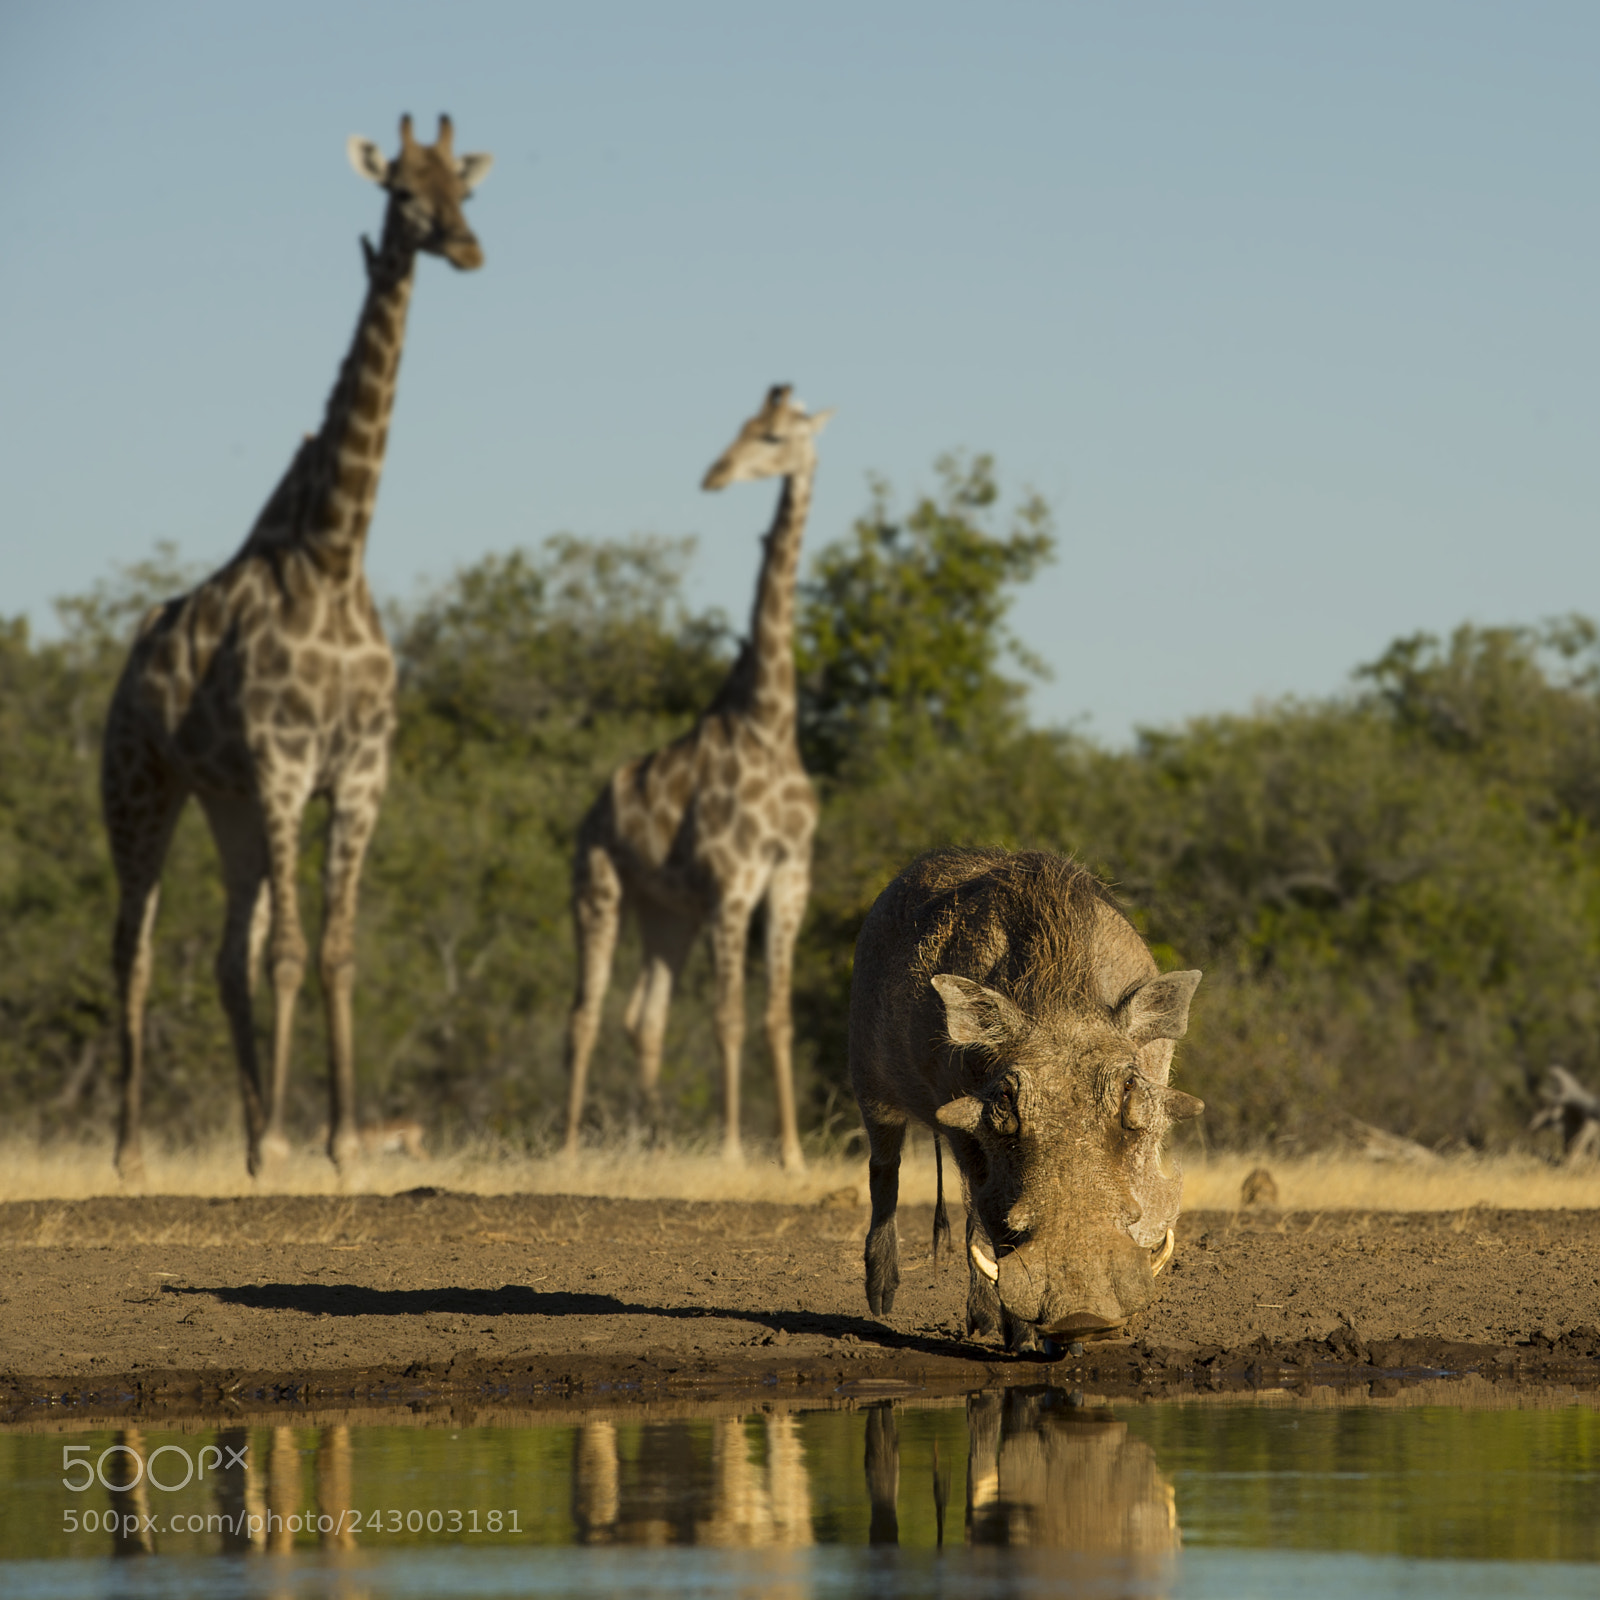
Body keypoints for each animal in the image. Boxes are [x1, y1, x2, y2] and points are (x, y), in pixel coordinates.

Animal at [849, 847, 1204, 1352]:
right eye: (1005, 1098)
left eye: (1130, 1087)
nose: (1081, 1314)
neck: (1061, 997)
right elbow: (992, 1220)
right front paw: (1025, 1341)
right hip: (871, 1084)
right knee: (888, 1170)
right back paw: (885, 1299)